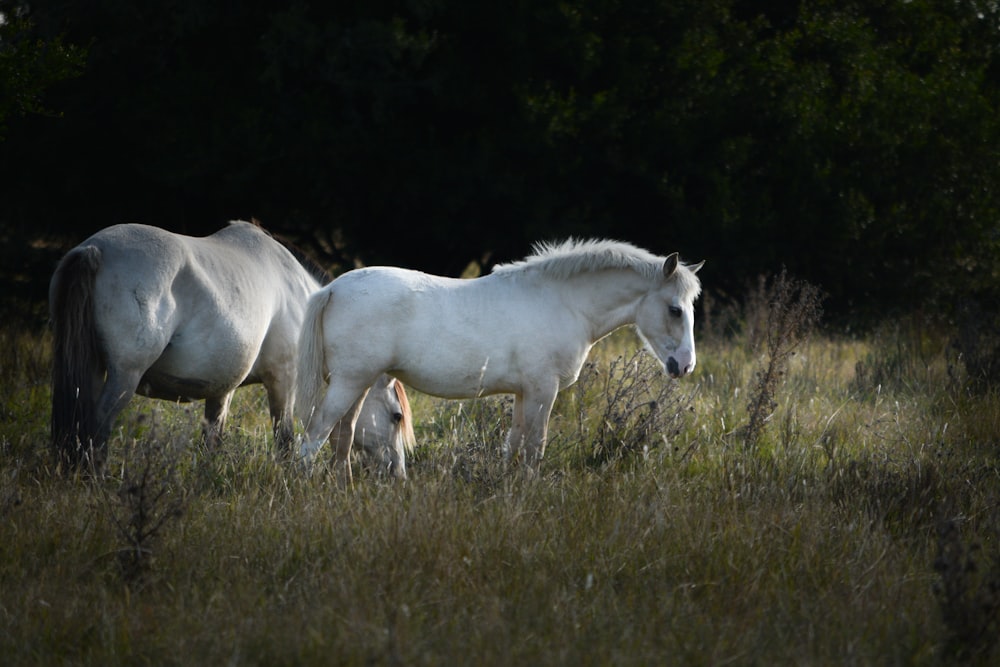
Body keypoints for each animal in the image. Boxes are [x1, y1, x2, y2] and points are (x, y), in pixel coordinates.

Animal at [48, 222, 416, 478]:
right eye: (396, 416)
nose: (397, 473)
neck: (308, 304)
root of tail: (94, 249)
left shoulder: (221, 389)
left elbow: (213, 439)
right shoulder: (283, 379)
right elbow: (284, 439)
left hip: (93, 372)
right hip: (124, 377)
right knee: (96, 430)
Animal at [296, 237, 704, 472]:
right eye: (675, 310)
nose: (685, 365)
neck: (561, 301)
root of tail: (333, 289)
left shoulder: (524, 393)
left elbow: (515, 446)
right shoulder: (542, 391)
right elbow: (535, 448)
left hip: (359, 384)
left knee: (343, 435)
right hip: (350, 382)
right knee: (314, 437)